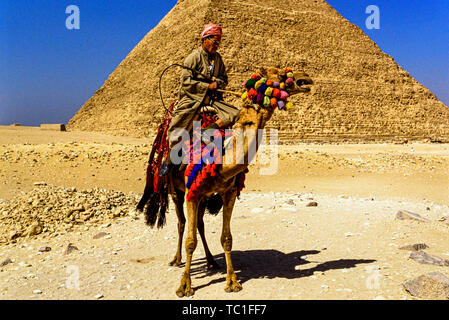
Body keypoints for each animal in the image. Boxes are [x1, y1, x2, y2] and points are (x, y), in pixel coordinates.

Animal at [136, 67, 312, 298]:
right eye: (281, 75)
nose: (306, 79)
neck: (222, 156)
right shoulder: (192, 192)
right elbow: (190, 241)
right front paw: (185, 286)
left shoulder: (228, 193)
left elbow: (226, 238)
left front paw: (232, 282)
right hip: (176, 190)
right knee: (182, 223)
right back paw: (177, 259)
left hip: (203, 196)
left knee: (200, 224)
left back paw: (211, 261)